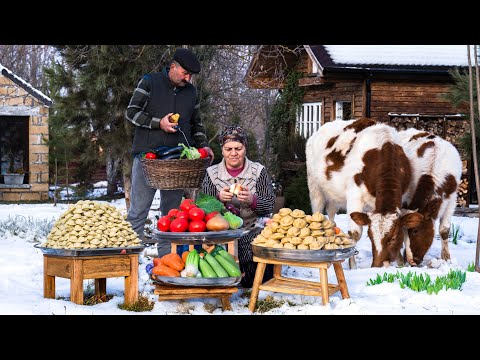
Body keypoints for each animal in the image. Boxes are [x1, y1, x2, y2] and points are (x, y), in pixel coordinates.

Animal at [306, 118, 422, 268]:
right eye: (370, 236)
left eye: (393, 237)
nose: (377, 265)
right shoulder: (354, 196)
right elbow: (355, 233)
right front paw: (353, 266)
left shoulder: (403, 198)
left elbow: (404, 228)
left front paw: (401, 262)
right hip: (315, 188)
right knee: (318, 213)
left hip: (334, 196)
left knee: (331, 216)